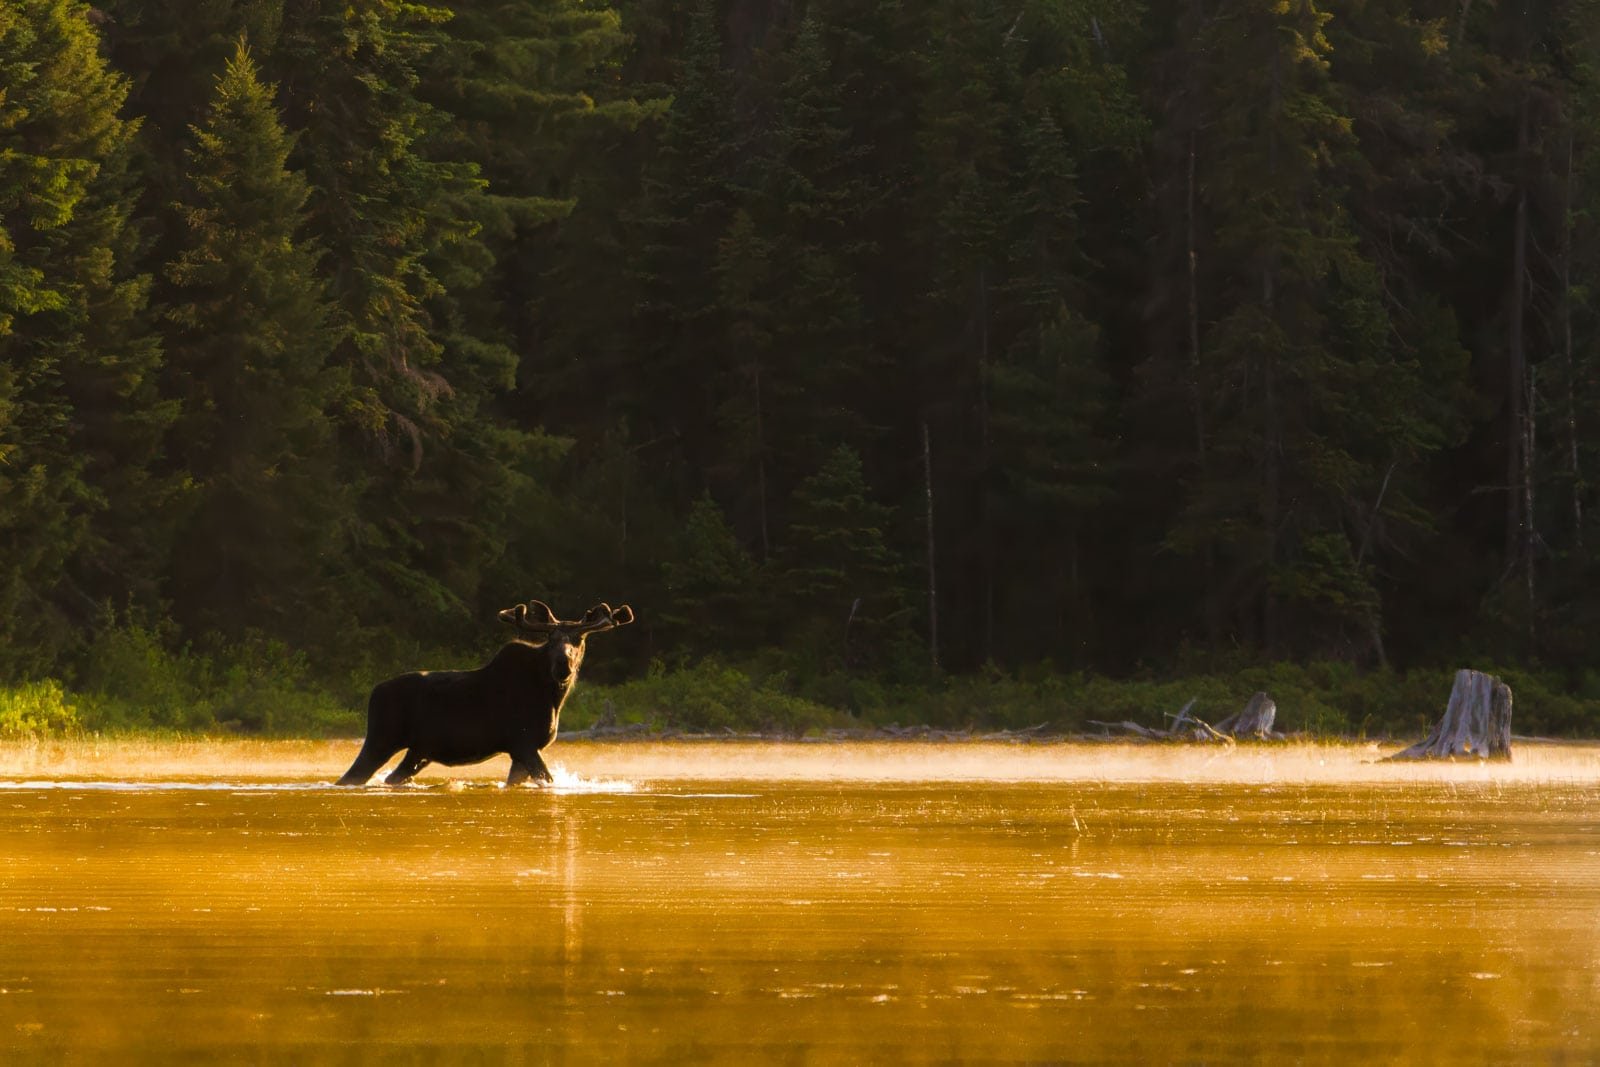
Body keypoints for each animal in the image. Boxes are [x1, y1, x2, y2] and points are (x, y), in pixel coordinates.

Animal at [336, 600, 634, 786]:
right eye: (550, 639)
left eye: (579, 638)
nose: (563, 664)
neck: (553, 697)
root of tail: (374, 693)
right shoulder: (523, 743)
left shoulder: (523, 750)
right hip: (381, 739)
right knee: (352, 776)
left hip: (419, 751)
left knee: (393, 776)